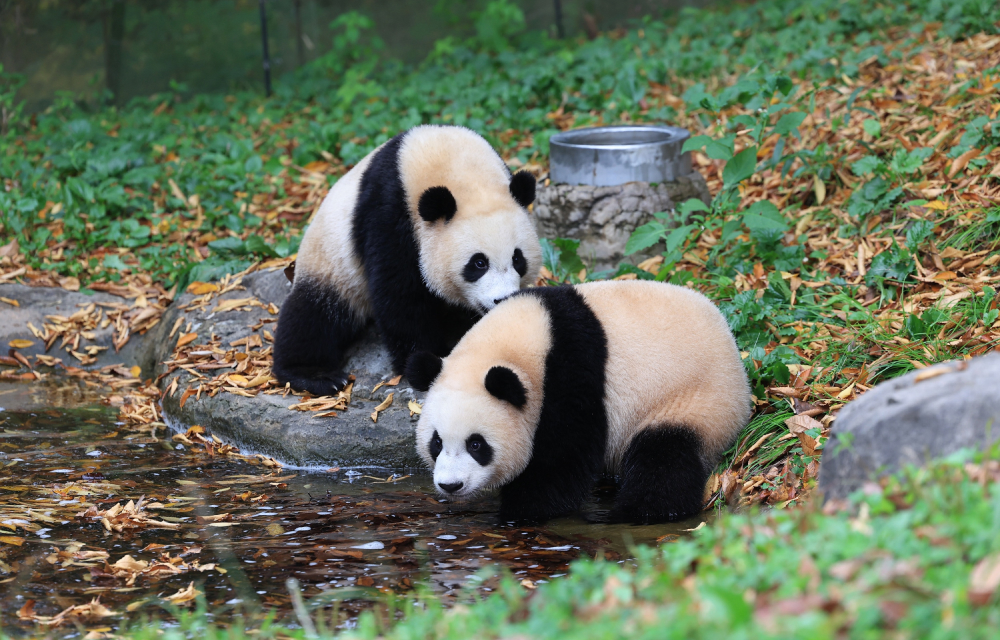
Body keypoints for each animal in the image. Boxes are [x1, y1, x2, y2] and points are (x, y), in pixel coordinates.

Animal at [272, 124, 540, 396]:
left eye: (518, 259)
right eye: (478, 263)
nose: (502, 298)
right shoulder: (389, 213)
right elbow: (399, 293)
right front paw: (422, 362)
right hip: (330, 265)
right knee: (313, 316)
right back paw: (316, 375)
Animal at [402, 282, 752, 524]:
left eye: (476, 444)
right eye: (436, 442)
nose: (450, 485)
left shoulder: (572, 372)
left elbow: (563, 458)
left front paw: (517, 512)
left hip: (693, 399)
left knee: (665, 459)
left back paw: (628, 513)